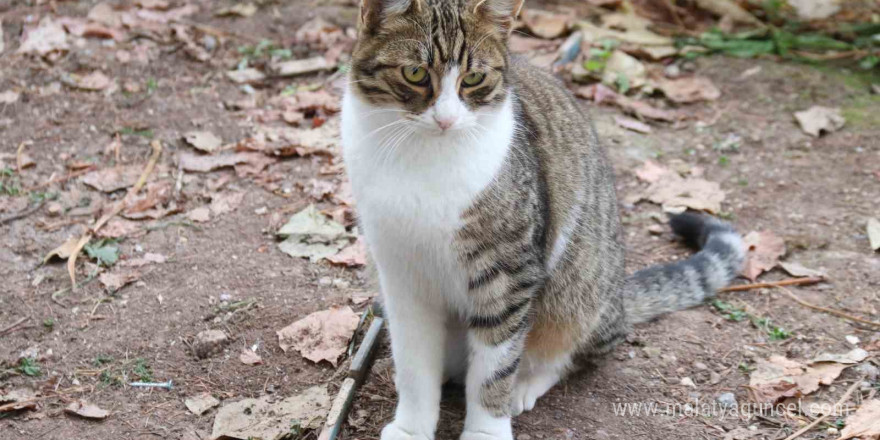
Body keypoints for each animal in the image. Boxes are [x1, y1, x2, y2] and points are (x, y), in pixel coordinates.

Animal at [340, 0, 744, 440]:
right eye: (415, 73)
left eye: (474, 78)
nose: (446, 120)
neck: (423, 160)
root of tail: (619, 299)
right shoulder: (401, 276)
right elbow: (414, 365)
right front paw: (412, 428)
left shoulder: (508, 274)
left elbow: (495, 367)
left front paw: (486, 431)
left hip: (577, 292)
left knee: (570, 352)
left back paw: (526, 383)